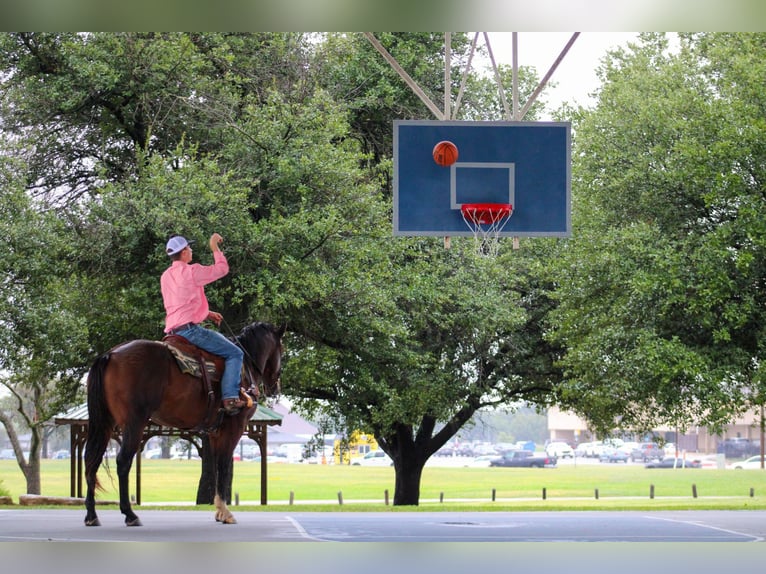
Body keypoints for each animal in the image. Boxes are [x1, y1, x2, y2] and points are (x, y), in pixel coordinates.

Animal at [84, 322, 286, 528]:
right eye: (282, 349)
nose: (275, 386)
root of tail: (111, 354)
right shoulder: (234, 428)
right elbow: (223, 466)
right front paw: (225, 512)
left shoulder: (214, 433)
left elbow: (214, 467)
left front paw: (219, 511)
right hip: (134, 423)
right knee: (123, 461)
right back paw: (130, 514)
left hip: (105, 423)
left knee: (92, 461)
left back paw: (92, 515)